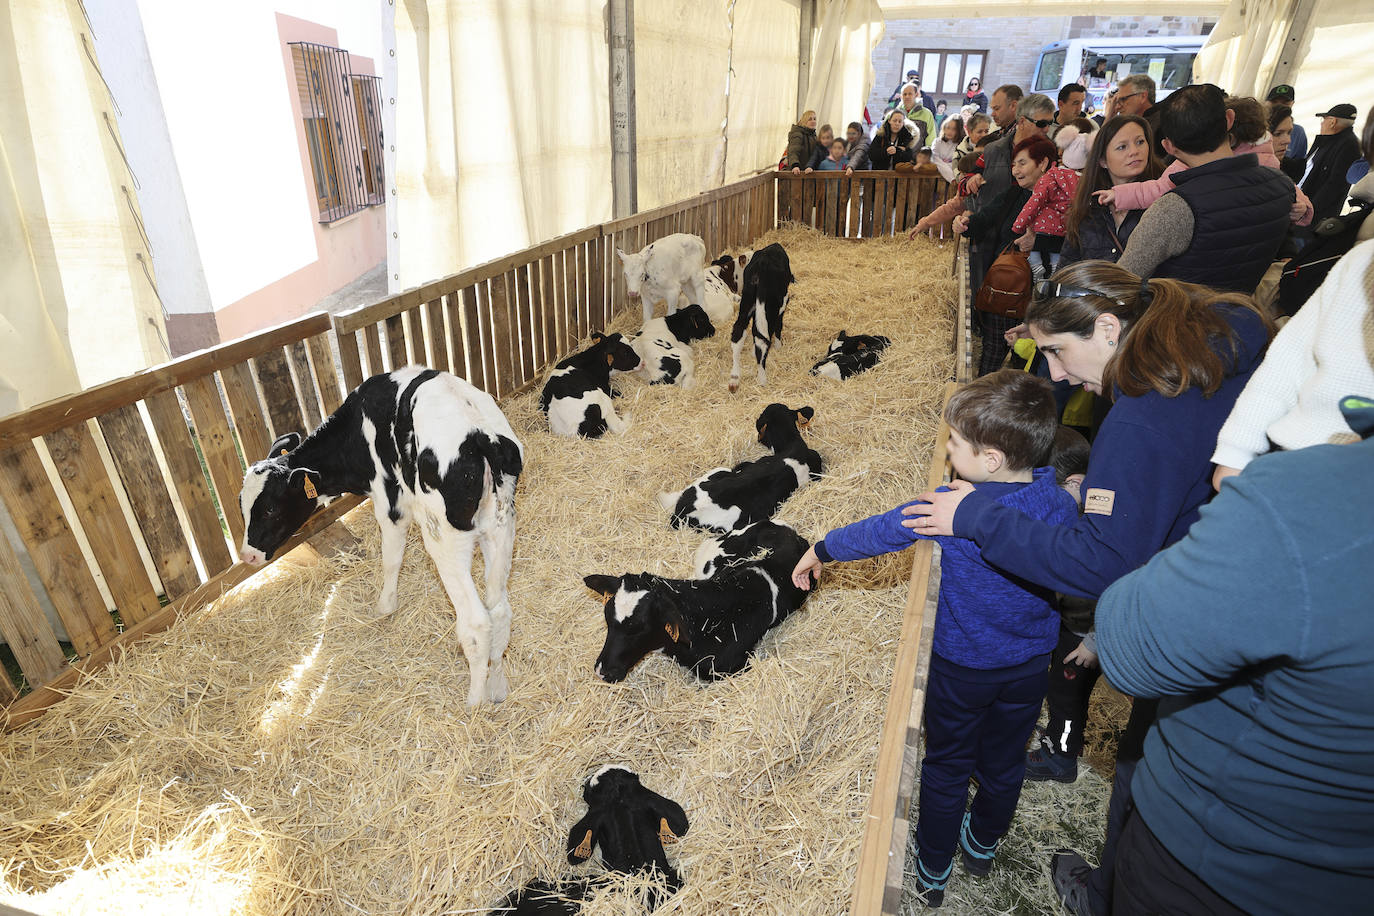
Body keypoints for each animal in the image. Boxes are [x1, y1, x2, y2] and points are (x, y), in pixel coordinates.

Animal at [236, 368, 519, 708]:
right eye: (241, 504)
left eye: (270, 509)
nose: (247, 554)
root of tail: (480, 435)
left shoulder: (390, 503)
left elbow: (391, 560)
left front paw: (385, 606)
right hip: (500, 527)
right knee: (499, 611)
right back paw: (498, 687)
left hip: (446, 539)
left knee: (477, 621)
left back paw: (474, 701)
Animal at [730, 241, 796, 392]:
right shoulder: (783, 302)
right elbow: (778, 326)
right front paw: (778, 346)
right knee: (763, 337)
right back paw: (762, 380)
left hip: (747, 300)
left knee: (739, 330)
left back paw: (734, 378)